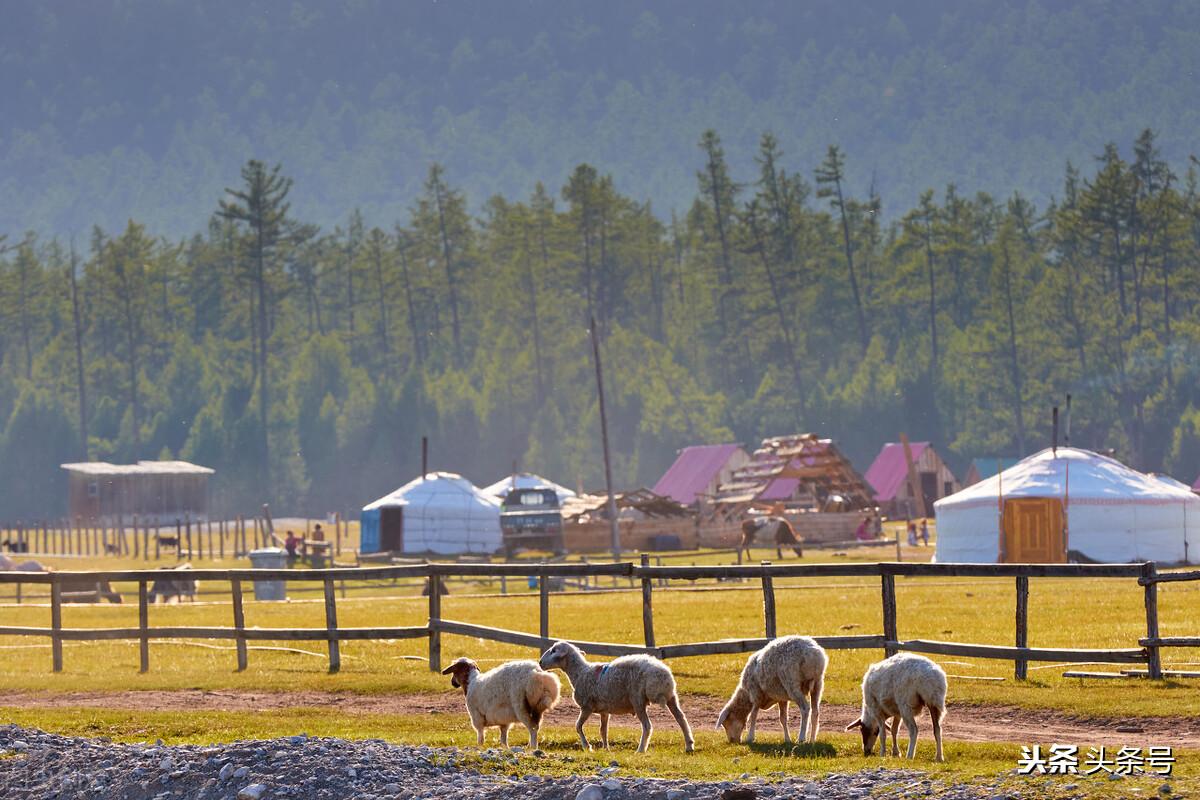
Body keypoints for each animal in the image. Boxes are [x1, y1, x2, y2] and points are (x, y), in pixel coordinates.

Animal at [537, 642, 696, 753]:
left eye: (553, 650)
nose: (540, 662)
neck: (580, 672)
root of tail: (663, 675)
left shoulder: (587, 707)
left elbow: (577, 726)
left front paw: (587, 746)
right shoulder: (604, 711)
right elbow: (603, 730)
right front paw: (606, 748)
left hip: (637, 699)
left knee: (647, 726)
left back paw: (640, 749)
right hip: (671, 697)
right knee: (681, 718)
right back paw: (689, 745)